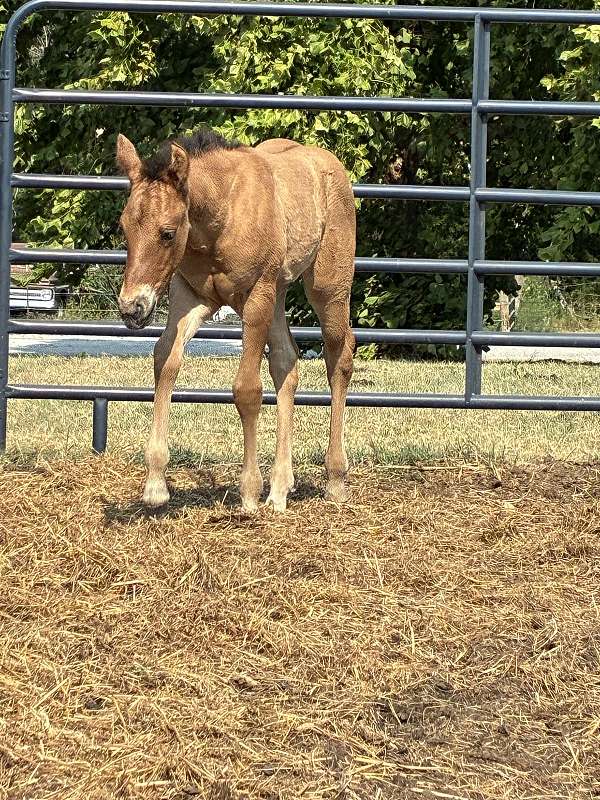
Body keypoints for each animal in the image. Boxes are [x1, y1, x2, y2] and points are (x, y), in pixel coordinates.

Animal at [116, 128, 355, 512]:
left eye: (167, 233)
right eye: (125, 228)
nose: (131, 307)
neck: (221, 215)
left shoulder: (256, 297)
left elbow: (247, 389)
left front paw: (249, 492)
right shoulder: (191, 296)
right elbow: (165, 361)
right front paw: (155, 485)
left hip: (327, 288)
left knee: (339, 359)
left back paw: (334, 480)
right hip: (278, 291)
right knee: (286, 362)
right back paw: (280, 489)